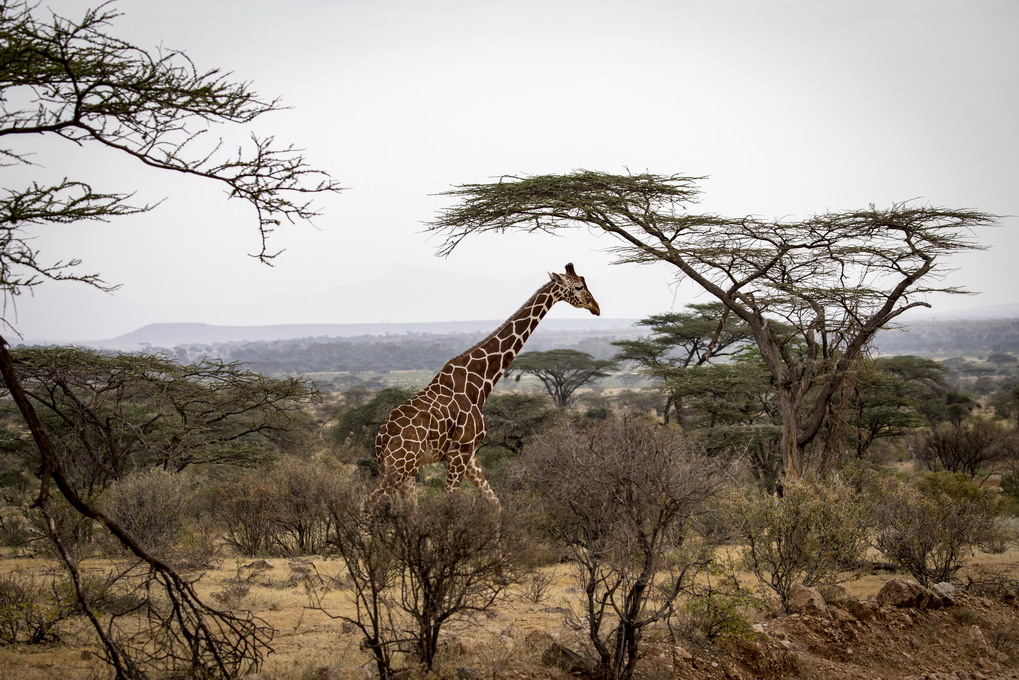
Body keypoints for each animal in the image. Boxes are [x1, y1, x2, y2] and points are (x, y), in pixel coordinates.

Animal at [366, 263, 601, 510]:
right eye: (579, 286)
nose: (596, 307)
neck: (480, 381)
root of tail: (380, 439)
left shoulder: (470, 455)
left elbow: (496, 504)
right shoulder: (459, 451)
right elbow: (449, 505)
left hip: (406, 470)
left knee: (409, 510)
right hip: (399, 467)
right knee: (368, 503)